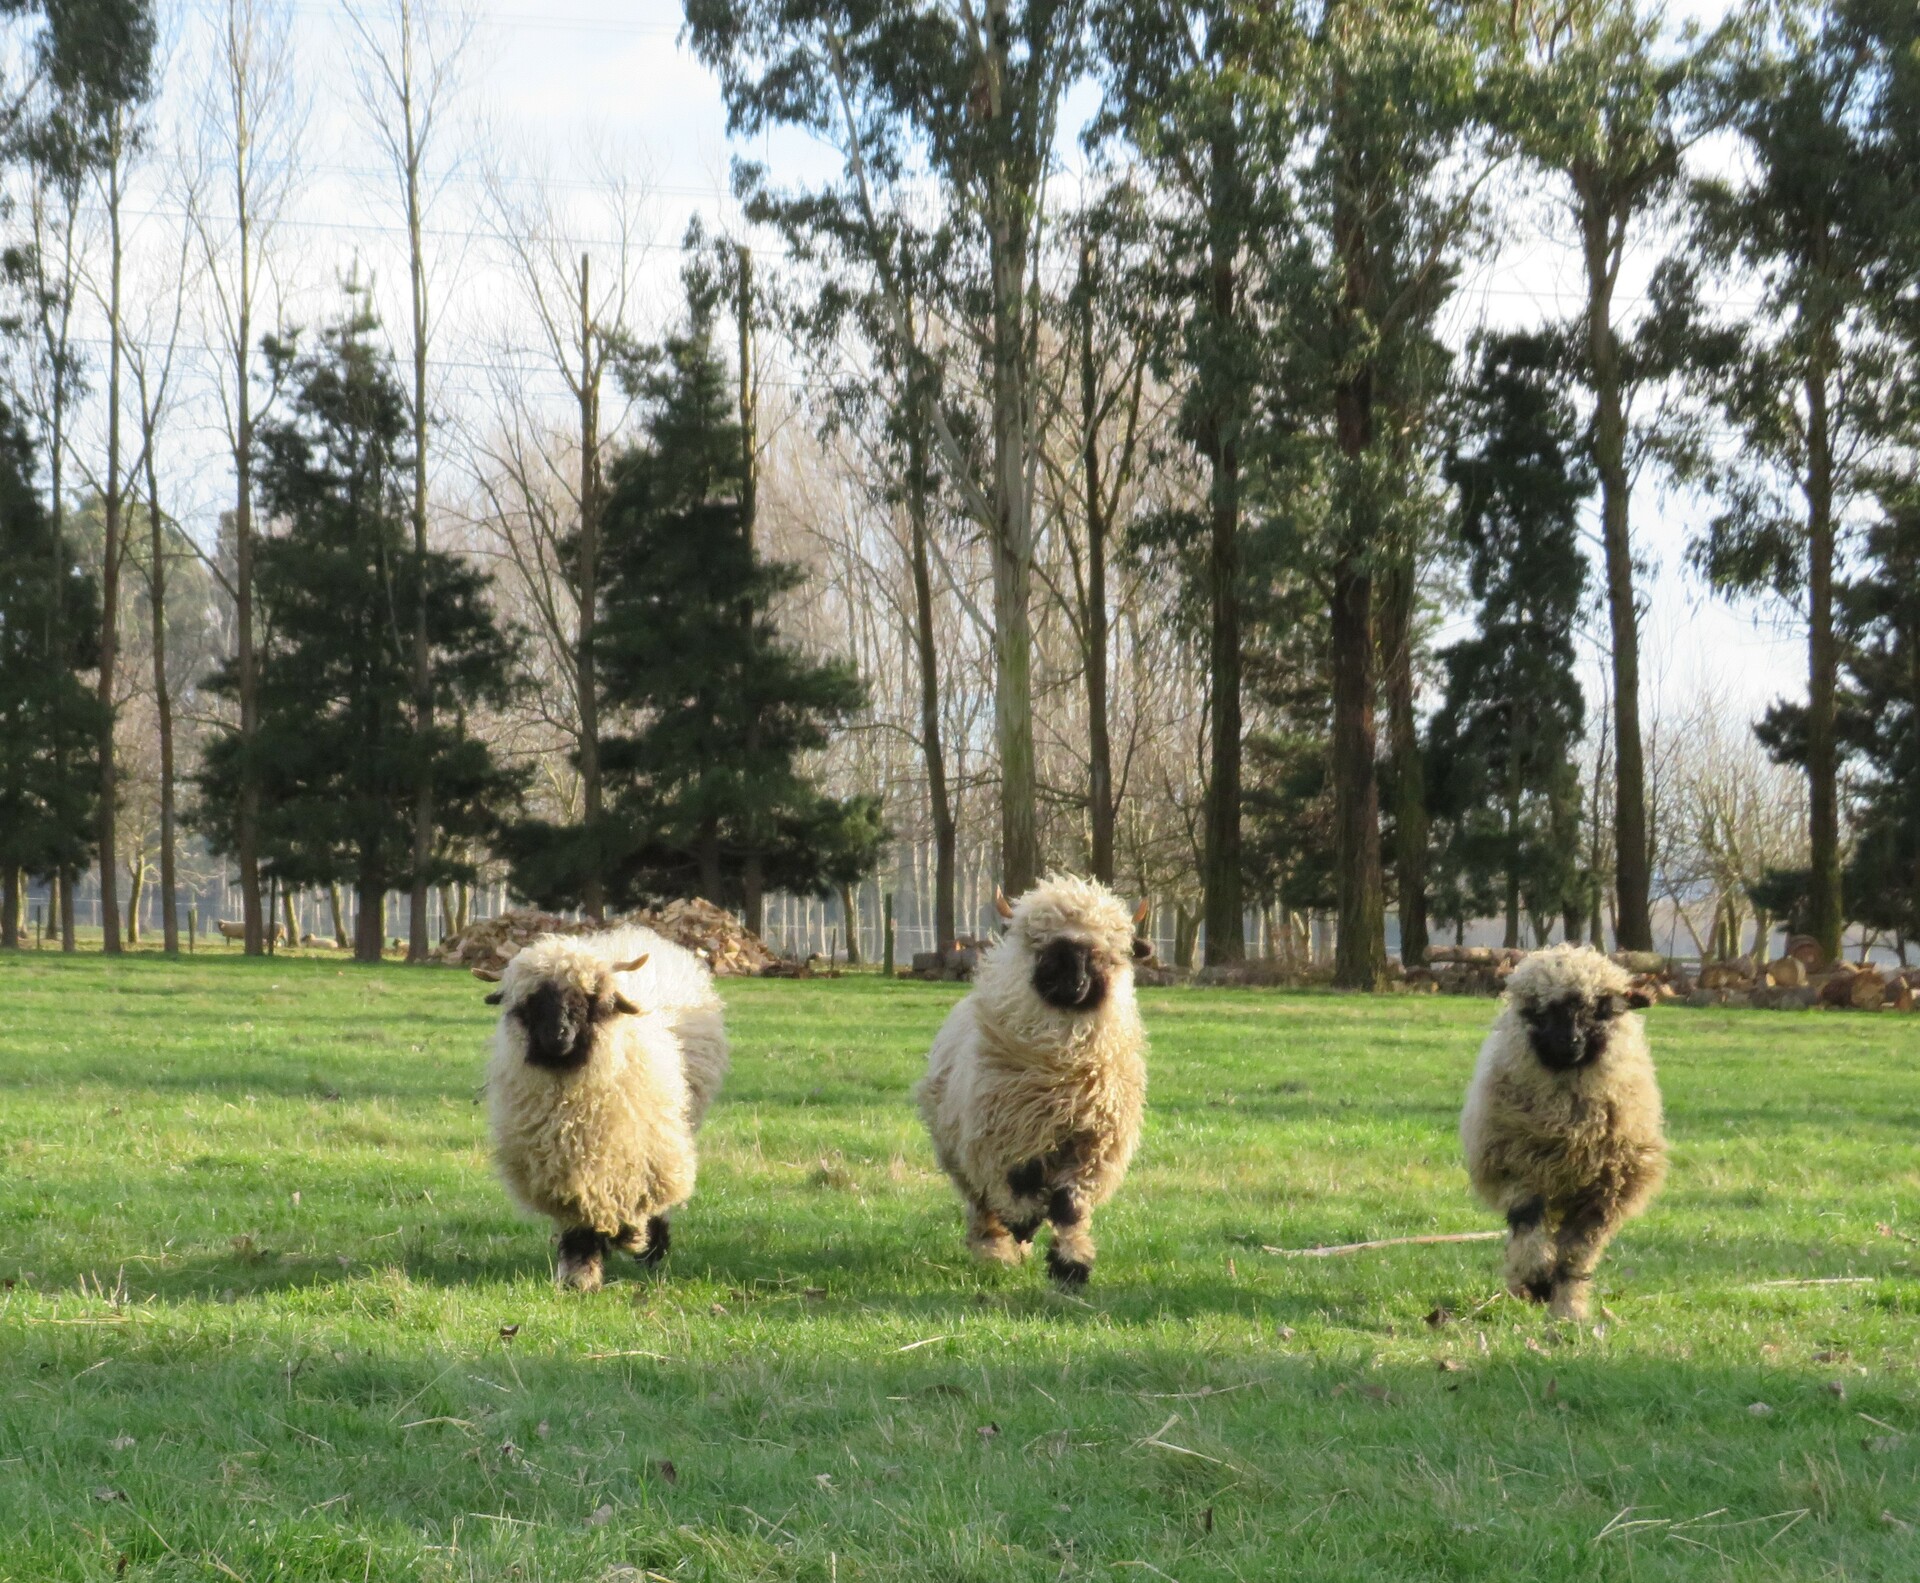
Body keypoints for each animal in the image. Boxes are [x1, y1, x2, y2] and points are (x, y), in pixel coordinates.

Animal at [474, 925, 725, 1283]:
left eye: (586, 999)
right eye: (531, 1002)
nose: (558, 1035)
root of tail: (629, 934)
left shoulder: (641, 1155)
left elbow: (643, 1203)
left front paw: (639, 1240)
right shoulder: (567, 1172)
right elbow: (580, 1224)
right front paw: (580, 1274)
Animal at [917, 879, 1152, 1283]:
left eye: (1101, 954)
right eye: (1048, 949)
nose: (1076, 984)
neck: (1061, 1071)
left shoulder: (1093, 1143)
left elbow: (1070, 1206)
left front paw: (1071, 1265)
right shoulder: (1005, 1137)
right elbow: (1020, 1186)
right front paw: (1024, 1224)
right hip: (962, 1152)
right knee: (982, 1203)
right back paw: (996, 1249)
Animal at [1451, 945, 1666, 1314]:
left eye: (1601, 1010)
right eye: (1540, 1010)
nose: (1570, 1041)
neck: (1569, 1126)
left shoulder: (1606, 1191)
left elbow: (1577, 1253)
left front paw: (1569, 1309)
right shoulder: (1518, 1169)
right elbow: (1528, 1226)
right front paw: (1537, 1280)